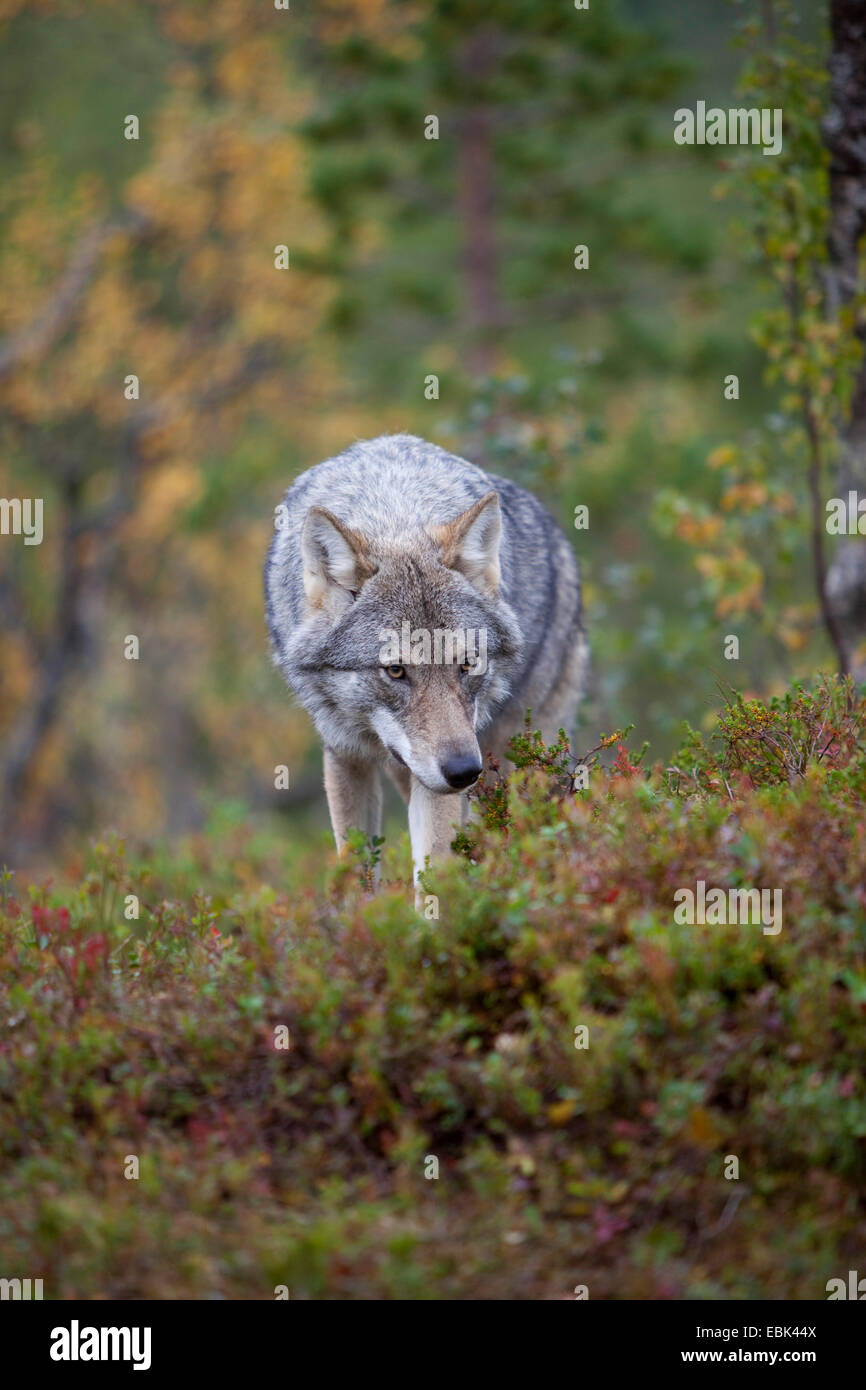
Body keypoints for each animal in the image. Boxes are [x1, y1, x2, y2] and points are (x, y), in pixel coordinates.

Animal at [265, 433, 589, 889]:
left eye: (468, 664)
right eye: (396, 670)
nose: (464, 771)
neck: (392, 512)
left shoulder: (444, 783)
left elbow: (435, 872)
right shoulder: (345, 754)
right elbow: (355, 875)